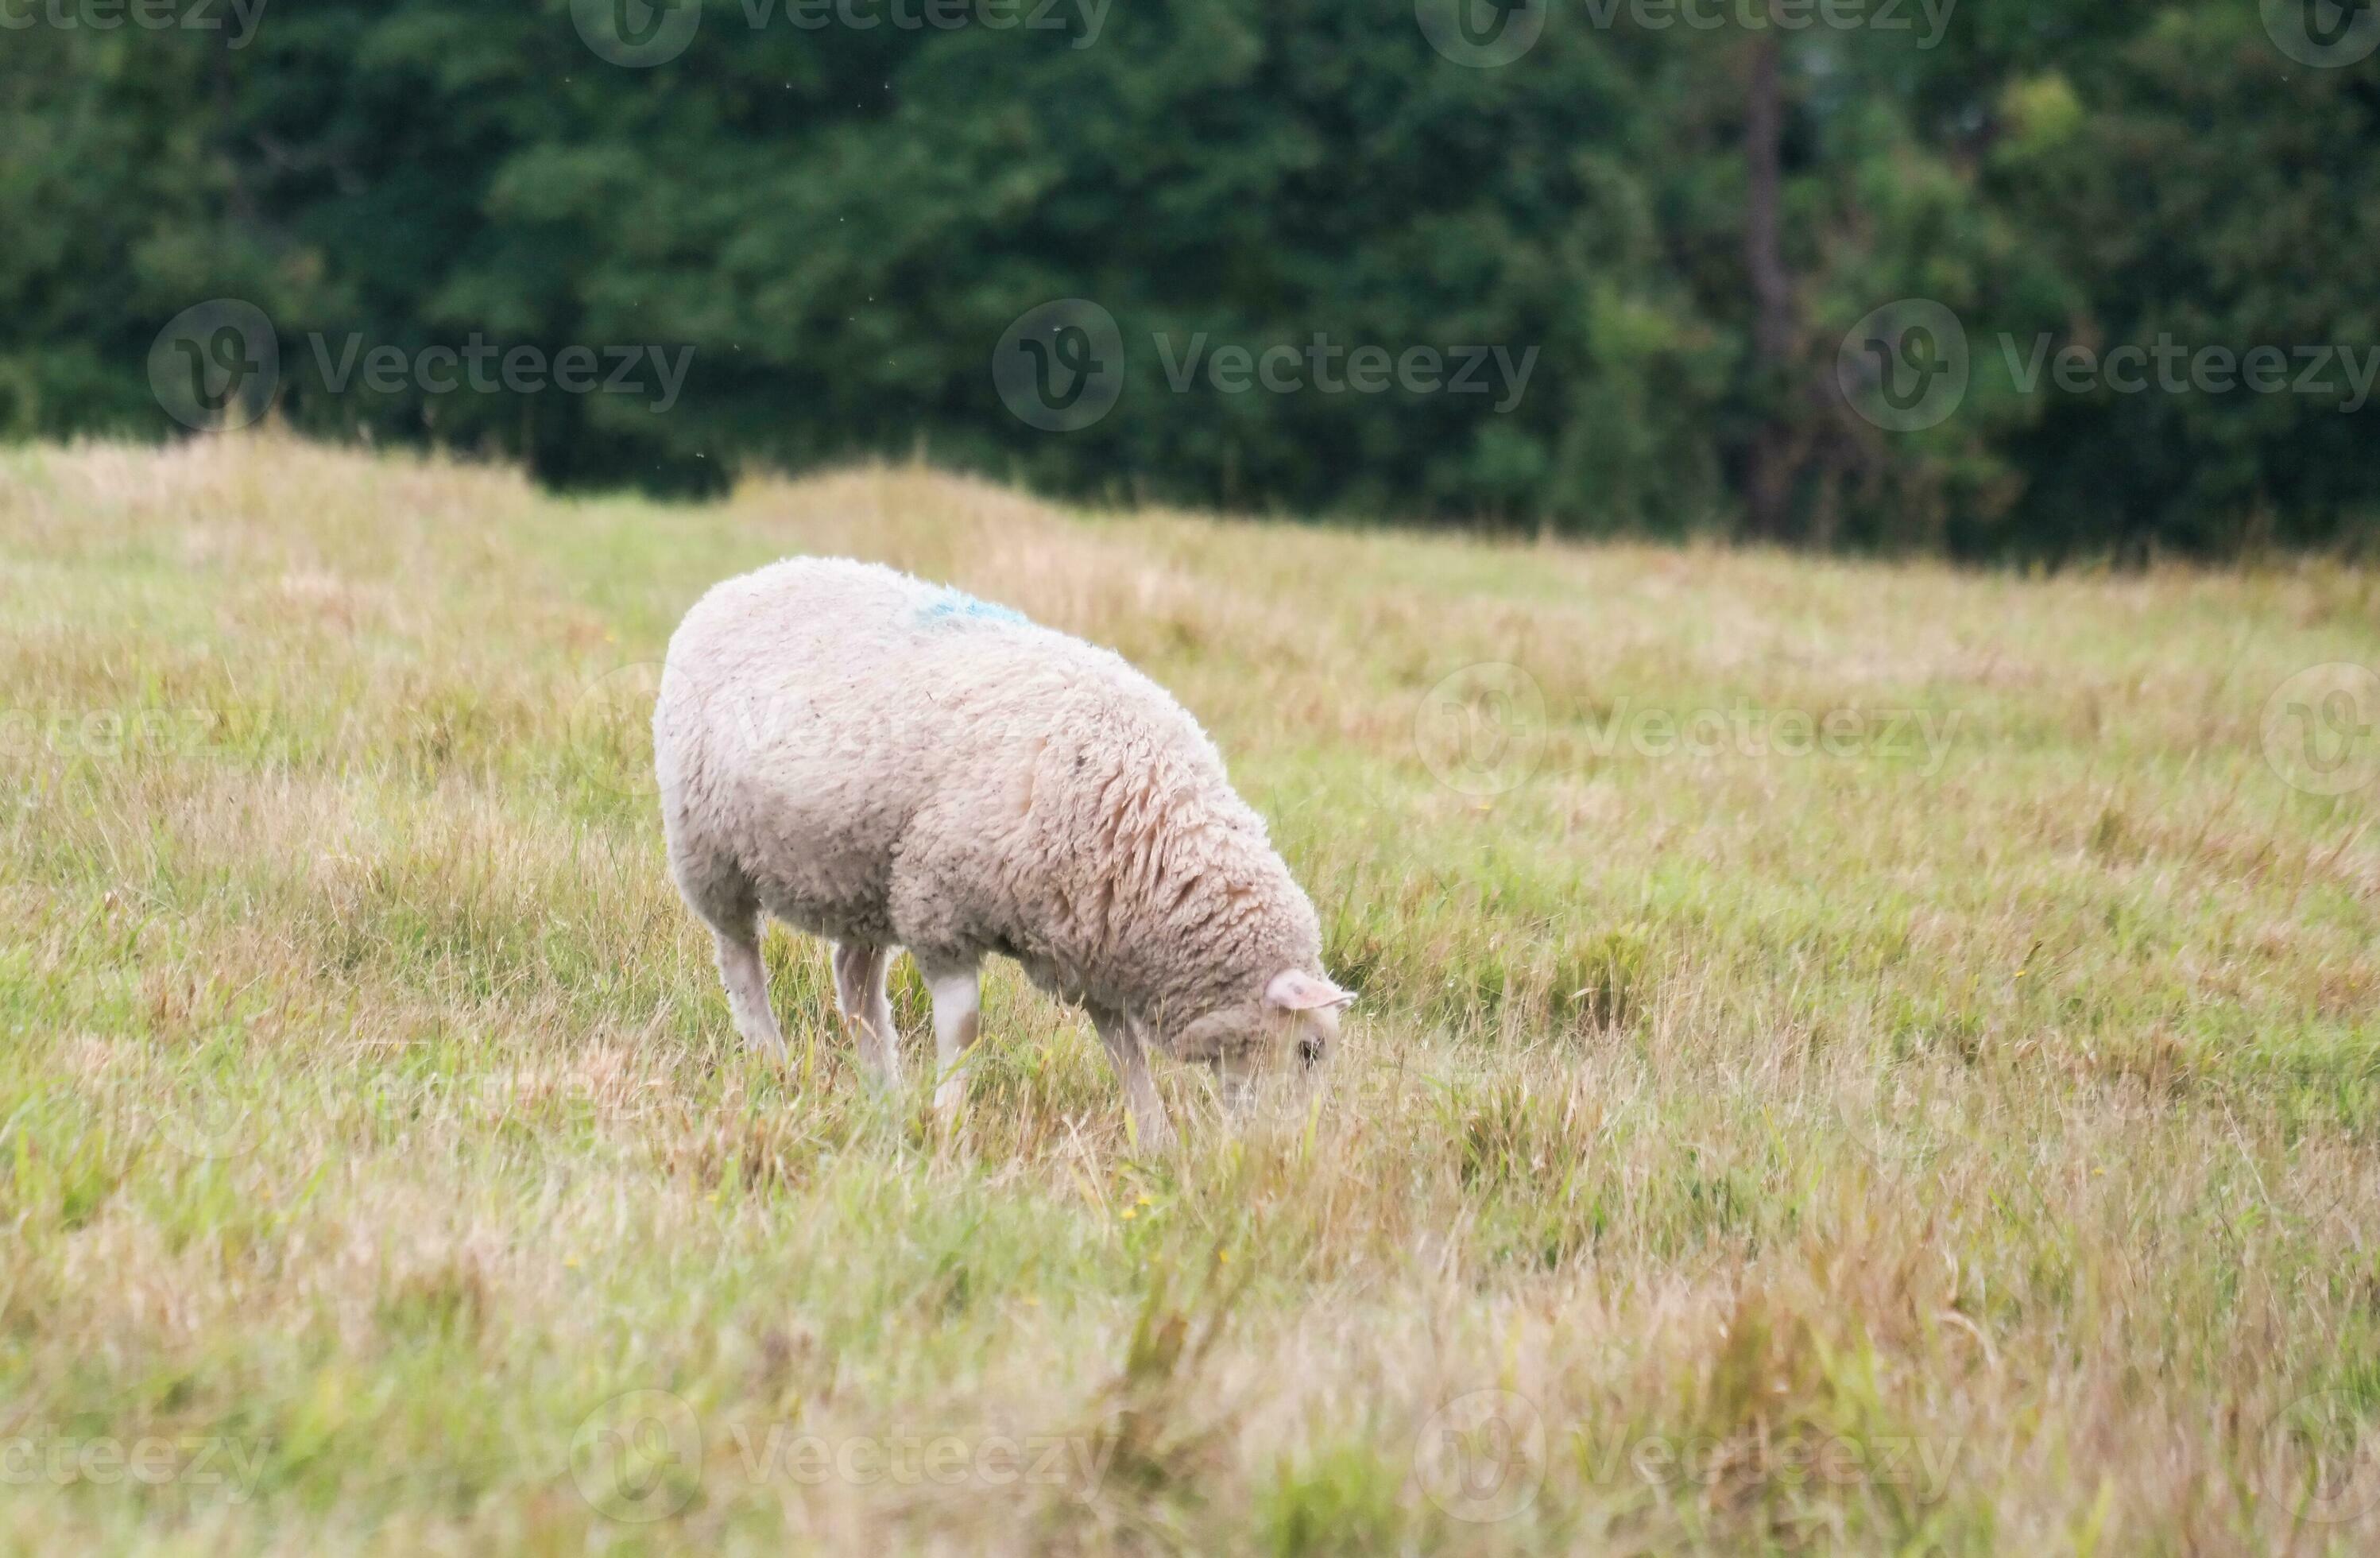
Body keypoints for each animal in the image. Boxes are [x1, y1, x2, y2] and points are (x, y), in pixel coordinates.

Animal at [652, 557, 1352, 1148]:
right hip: (709, 851)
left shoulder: (1087, 939)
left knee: (855, 981)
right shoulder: (940, 905)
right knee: (740, 959)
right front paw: (948, 1122)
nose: (1289, 1153)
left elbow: (1121, 1047)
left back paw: (884, 1092)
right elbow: (965, 1030)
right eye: (1309, 1050)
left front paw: (1153, 1138)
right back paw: (771, 1059)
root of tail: (741, 581)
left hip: (866, 875)